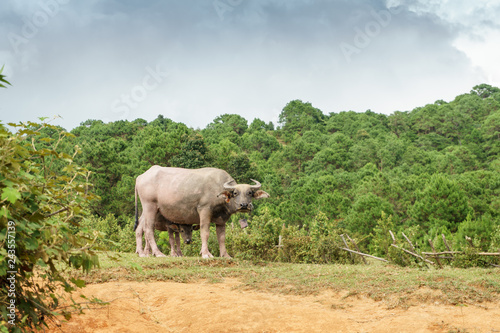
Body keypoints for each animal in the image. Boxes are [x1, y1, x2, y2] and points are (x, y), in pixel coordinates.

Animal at [134, 165, 270, 256]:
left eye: (250, 193)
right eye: (235, 193)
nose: (244, 205)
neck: (218, 190)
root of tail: (140, 177)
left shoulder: (221, 219)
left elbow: (221, 237)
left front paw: (225, 255)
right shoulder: (204, 210)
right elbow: (205, 232)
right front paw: (205, 253)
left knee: (142, 229)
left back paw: (144, 253)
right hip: (150, 206)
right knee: (148, 229)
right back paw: (157, 253)